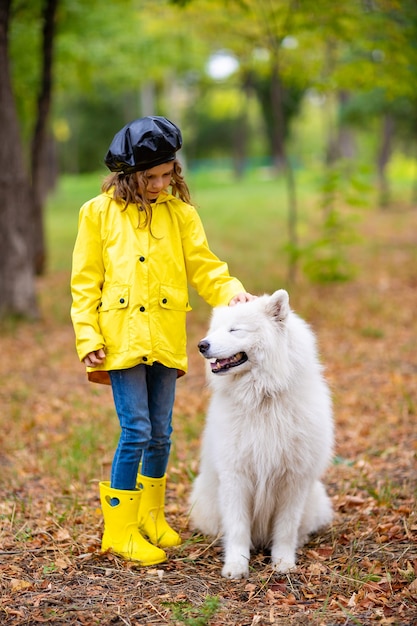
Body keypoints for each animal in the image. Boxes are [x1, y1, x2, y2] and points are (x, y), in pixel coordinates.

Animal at [190, 290, 334, 576]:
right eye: (215, 329)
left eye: (235, 329)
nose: (202, 345)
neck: (263, 399)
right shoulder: (236, 475)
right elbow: (237, 528)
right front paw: (236, 565)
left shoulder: (294, 479)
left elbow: (286, 529)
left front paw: (283, 562)